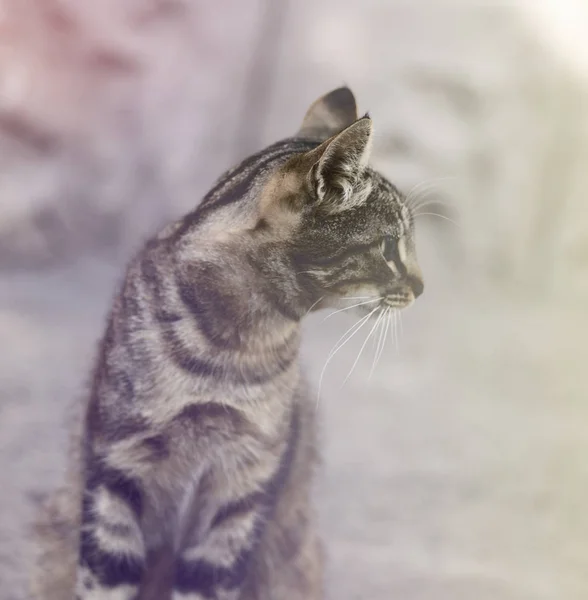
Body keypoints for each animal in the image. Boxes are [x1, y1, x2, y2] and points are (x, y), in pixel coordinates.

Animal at [32, 85, 422, 600]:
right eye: (390, 247)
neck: (231, 347)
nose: (422, 286)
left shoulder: (242, 491)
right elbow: (105, 582)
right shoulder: (117, 467)